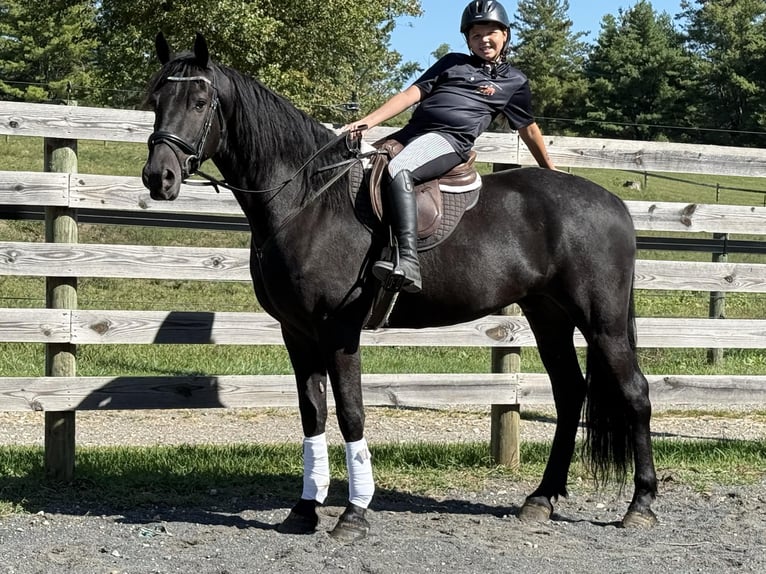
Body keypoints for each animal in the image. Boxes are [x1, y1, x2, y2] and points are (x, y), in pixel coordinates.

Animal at [142, 33, 658, 541]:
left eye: (200, 101)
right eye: (156, 99)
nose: (157, 177)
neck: (309, 201)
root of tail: (613, 203)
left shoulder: (338, 331)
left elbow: (351, 413)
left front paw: (353, 514)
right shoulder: (298, 332)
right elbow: (312, 413)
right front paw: (306, 509)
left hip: (602, 321)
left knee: (635, 393)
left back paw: (641, 504)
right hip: (548, 316)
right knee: (570, 393)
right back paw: (542, 498)